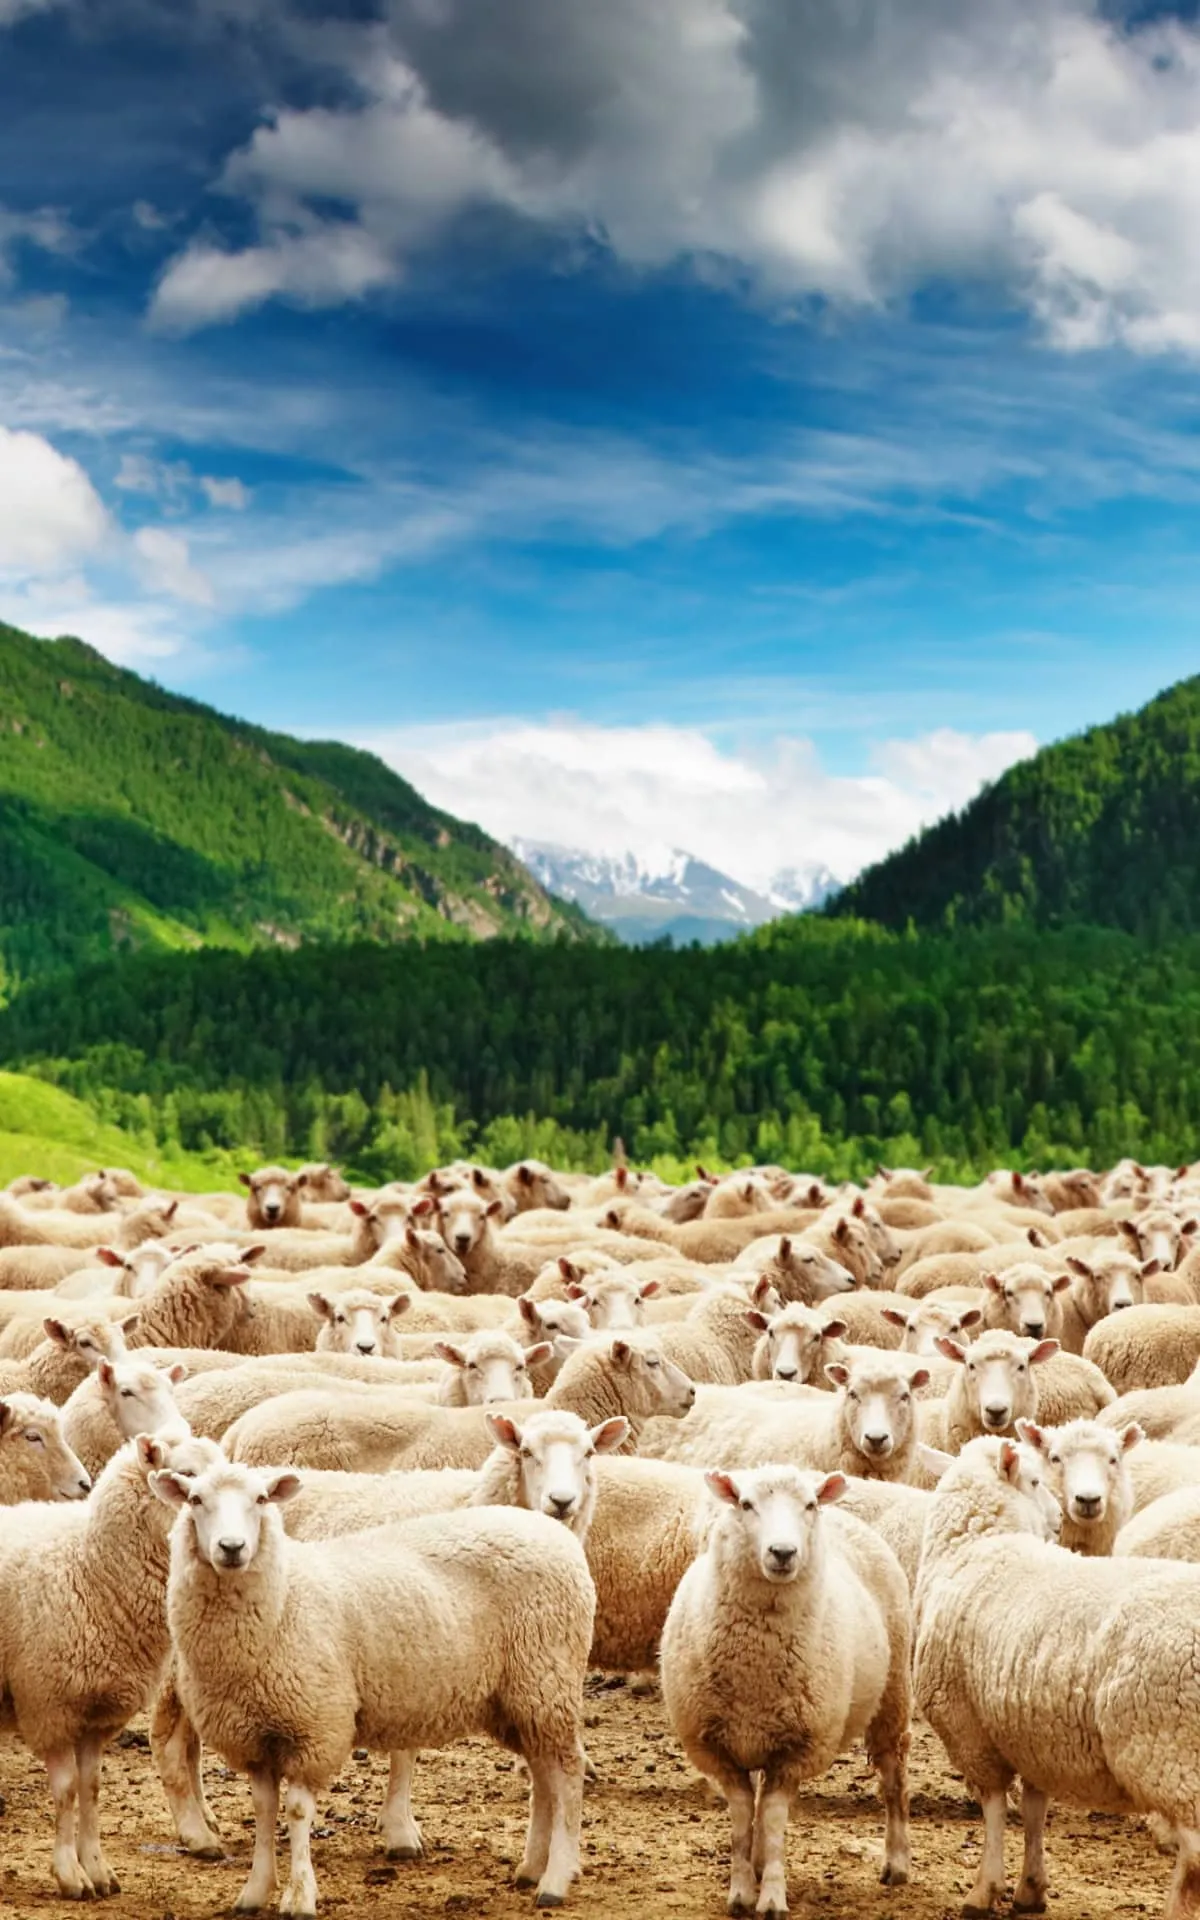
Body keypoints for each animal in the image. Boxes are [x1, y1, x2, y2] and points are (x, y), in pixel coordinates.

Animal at [0, 1427, 222, 1897]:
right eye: (188, 1475)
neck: (90, 1566)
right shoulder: (51, 1705)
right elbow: (66, 1791)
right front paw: (70, 1875)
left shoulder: (95, 1711)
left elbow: (92, 1787)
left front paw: (98, 1870)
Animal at [152, 1460, 595, 1912]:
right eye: (195, 1500)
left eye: (260, 1499)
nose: (231, 1547)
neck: (285, 1597)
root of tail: (553, 1531)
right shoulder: (254, 1737)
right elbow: (263, 1810)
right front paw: (255, 1891)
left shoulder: (315, 1726)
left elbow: (296, 1812)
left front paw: (301, 1896)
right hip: (519, 1699)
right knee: (544, 1776)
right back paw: (532, 1868)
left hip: (547, 1678)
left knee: (568, 1773)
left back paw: (556, 1879)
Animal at [660, 1464, 912, 1915]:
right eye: (745, 1504)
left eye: (809, 1505)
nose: (783, 1552)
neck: (755, 1667)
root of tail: (845, 1516)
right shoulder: (720, 1749)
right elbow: (743, 1820)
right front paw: (742, 1890)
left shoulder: (797, 1748)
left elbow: (774, 1820)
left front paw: (772, 1897)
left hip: (893, 1695)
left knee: (893, 1776)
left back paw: (897, 1862)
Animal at [914, 1431, 1200, 1920]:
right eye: (1036, 1478)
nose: (1057, 1519)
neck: (975, 1546)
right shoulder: (1032, 1732)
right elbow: (1034, 1808)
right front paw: (1031, 1888)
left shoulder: (967, 1727)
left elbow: (993, 1807)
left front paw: (984, 1889)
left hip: (1170, 1754)